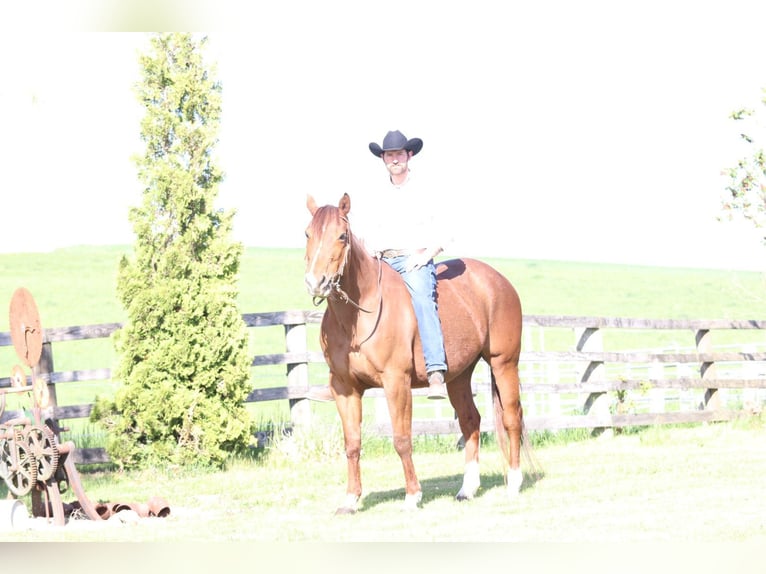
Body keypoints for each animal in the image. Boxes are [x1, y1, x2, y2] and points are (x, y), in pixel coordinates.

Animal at [304, 193, 525, 513]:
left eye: (342, 235)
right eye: (307, 234)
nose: (316, 282)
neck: (360, 314)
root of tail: (499, 281)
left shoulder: (396, 382)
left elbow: (401, 439)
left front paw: (412, 496)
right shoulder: (345, 388)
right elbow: (352, 443)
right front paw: (350, 500)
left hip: (504, 363)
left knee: (511, 418)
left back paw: (515, 483)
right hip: (459, 376)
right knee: (470, 421)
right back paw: (467, 488)